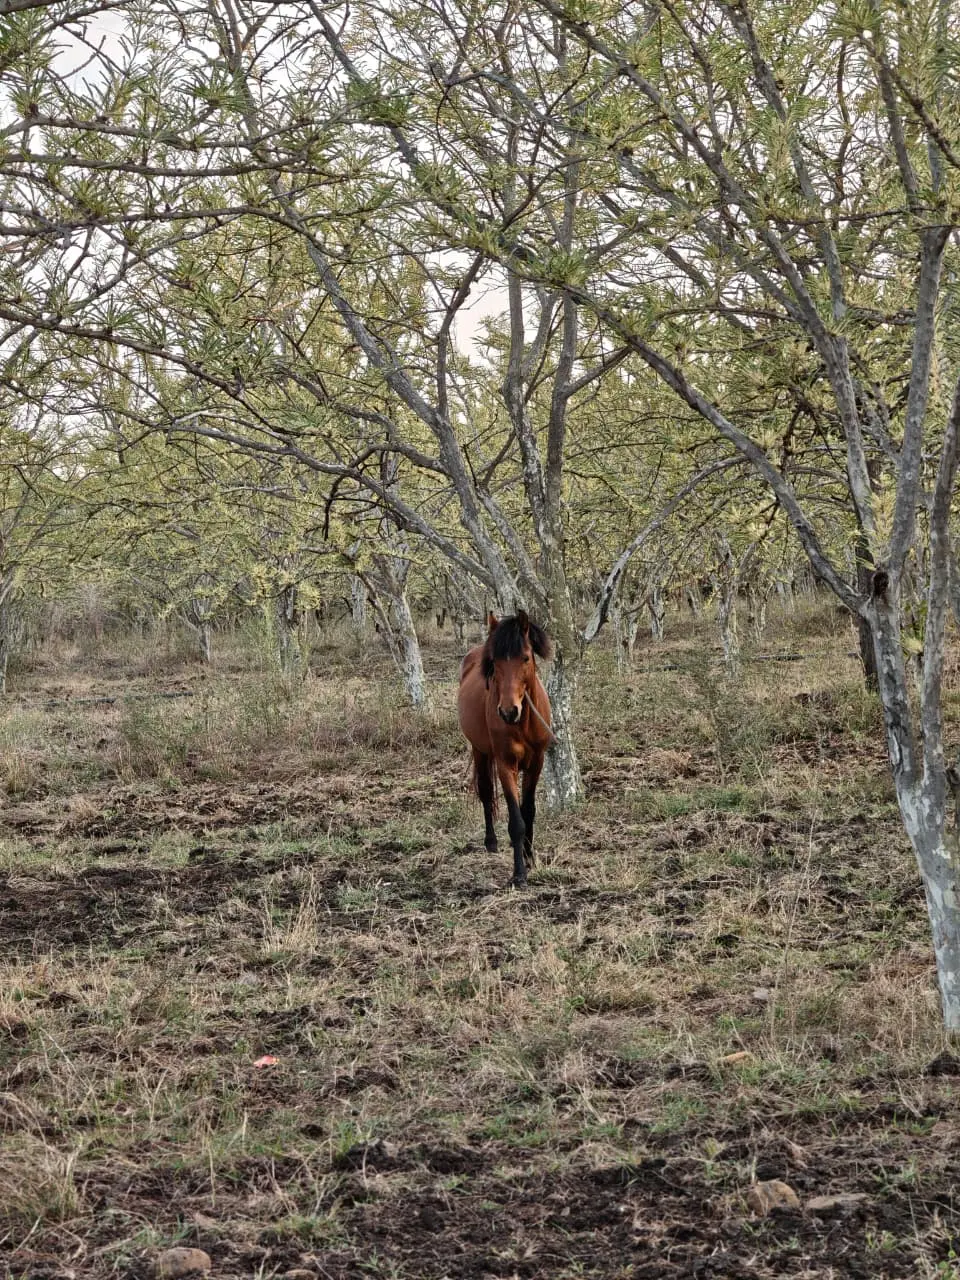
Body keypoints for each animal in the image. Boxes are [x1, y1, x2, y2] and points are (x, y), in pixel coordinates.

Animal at [457, 611, 553, 886]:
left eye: (525, 658)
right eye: (494, 662)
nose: (509, 712)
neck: (523, 723)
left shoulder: (536, 763)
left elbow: (528, 812)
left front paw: (530, 858)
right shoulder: (505, 765)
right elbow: (516, 822)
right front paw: (519, 873)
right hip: (479, 751)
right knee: (487, 793)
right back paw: (491, 842)